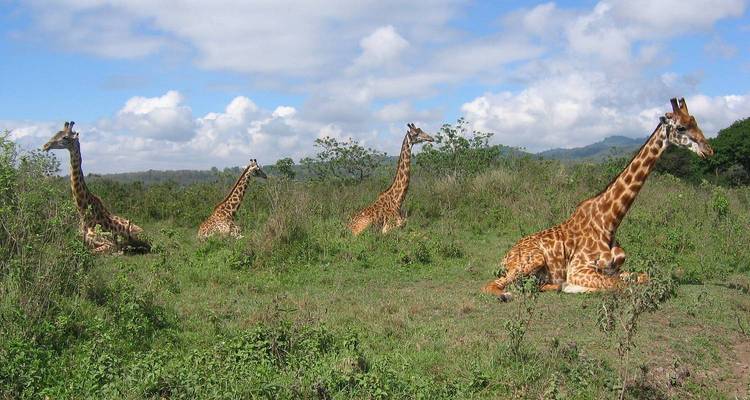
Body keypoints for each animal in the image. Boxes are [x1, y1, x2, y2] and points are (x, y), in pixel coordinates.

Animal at [43, 121, 150, 254]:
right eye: (56, 133)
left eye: (65, 137)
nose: (45, 145)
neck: (84, 213)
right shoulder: (79, 239)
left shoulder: (108, 243)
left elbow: (94, 251)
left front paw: (118, 252)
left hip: (136, 234)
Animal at [482, 98, 714, 300]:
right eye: (681, 127)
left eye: (695, 122)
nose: (709, 150)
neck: (610, 221)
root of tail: (506, 256)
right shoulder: (578, 269)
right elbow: (619, 286)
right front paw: (575, 287)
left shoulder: (614, 269)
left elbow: (643, 277)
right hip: (533, 259)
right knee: (493, 285)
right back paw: (507, 294)